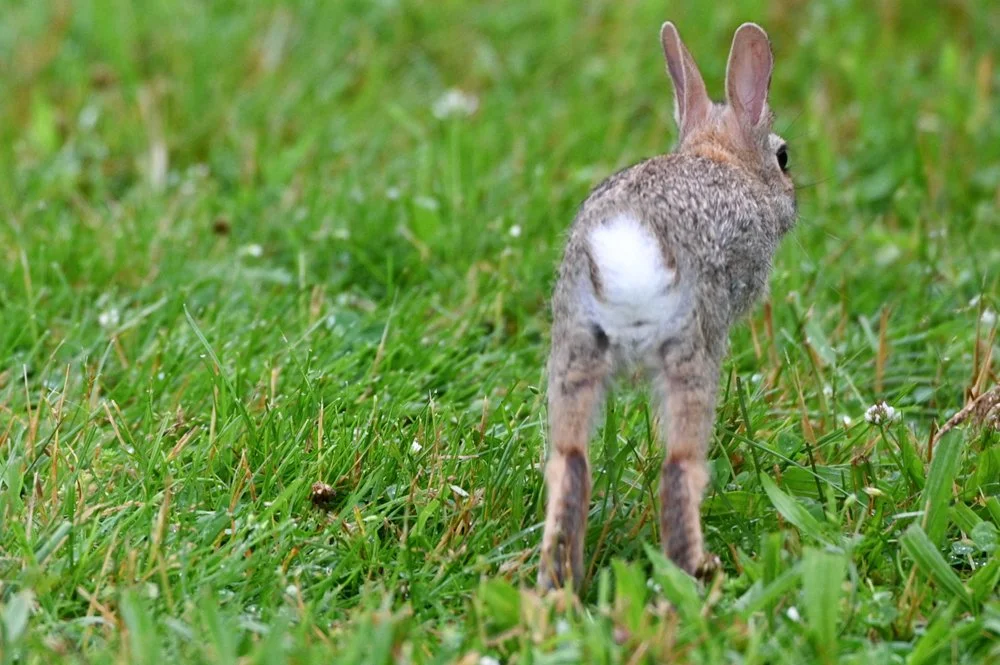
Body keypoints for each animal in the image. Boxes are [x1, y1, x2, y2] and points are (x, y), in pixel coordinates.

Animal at [538, 22, 796, 590]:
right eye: (783, 156)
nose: (793, 198)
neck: (720, 158)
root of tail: (630, 240)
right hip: (690, 346)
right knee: (680, 468)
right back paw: (698, 575)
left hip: (576, 343)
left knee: (570, 460)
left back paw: (557, 590)